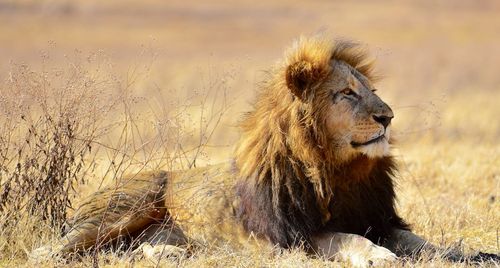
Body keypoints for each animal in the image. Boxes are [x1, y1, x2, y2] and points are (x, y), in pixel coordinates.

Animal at [29, 34, 498, 266]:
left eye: (372, 90)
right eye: (347, 94)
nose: (388, 117)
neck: (337, 170)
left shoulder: (376, 218)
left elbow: (423, 243)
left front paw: (471, 254)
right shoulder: (293, 236)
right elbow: (348, 238)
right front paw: (380, 258)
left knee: (130, 250)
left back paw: (168, 254)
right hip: (125, 205)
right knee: (58, 249)